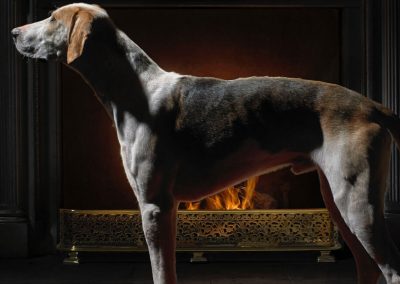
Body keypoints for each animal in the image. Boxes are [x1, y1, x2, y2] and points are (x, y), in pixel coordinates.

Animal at [12, 2, 400, 284]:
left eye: (52, 18)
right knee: (369, 269)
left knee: (391, 270)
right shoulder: (166, 210)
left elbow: (162, 273)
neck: (134, 92)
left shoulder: (154, 206)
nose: (14, 32)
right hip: (339, 203)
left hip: (357, 205)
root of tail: (373, 105)